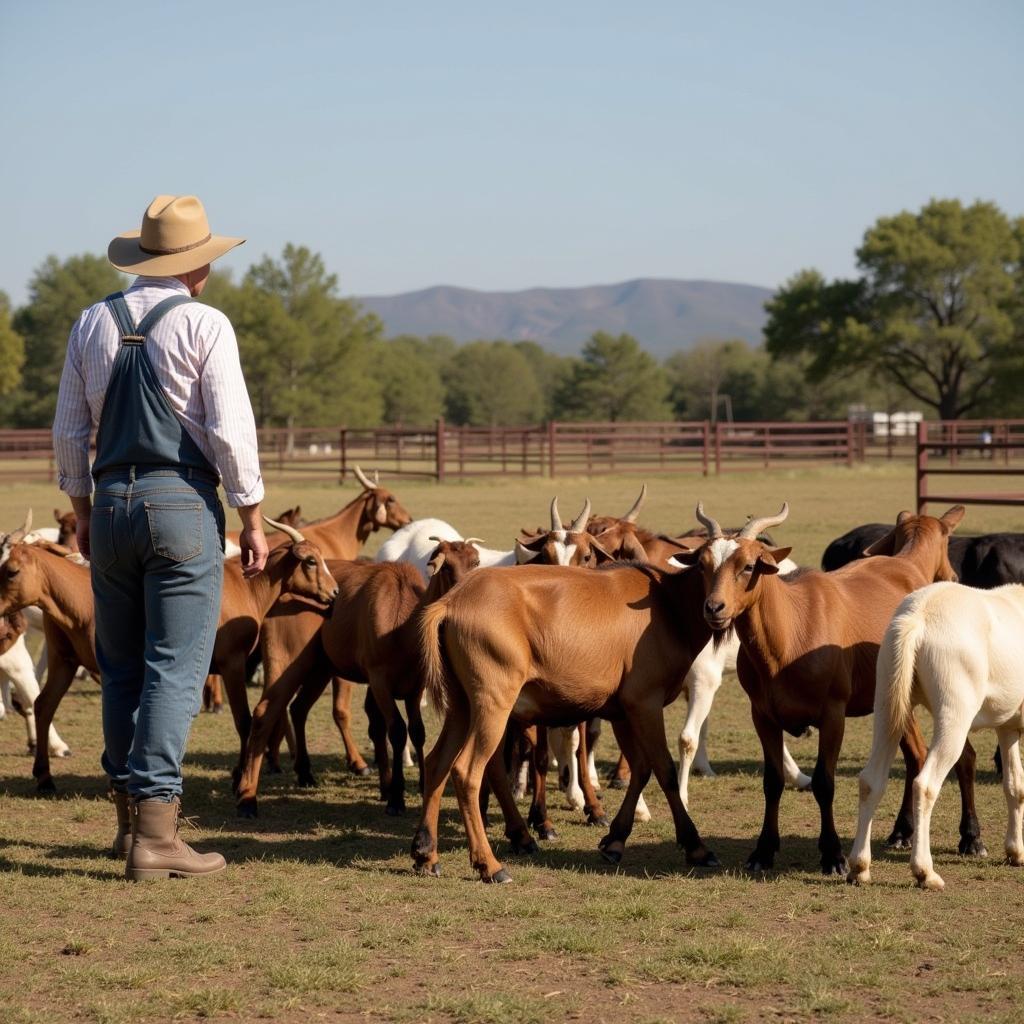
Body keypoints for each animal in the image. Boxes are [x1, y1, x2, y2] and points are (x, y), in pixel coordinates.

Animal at [675, 501, 978, 872]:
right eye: (703, 565)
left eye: (748, 566)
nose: (714, 608)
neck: (790, 634)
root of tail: (907, 565)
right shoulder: (763, 717)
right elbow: (772, 781)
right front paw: (763, 851)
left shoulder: (833, 716)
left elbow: (824, 782)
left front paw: (833, 854)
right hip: (896, 702)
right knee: (917, 755)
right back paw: (902, 832)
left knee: (963, 757)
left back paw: (971, 837)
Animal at [847, 581, 1024, 892]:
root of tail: (919, 616)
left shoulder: (1008, 727)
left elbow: (1015, 785)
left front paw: (1015, 852)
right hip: (954, 718)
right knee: (925, 785)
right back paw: (925, 872)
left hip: (888, 709)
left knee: (870, 780)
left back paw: (860, 868)